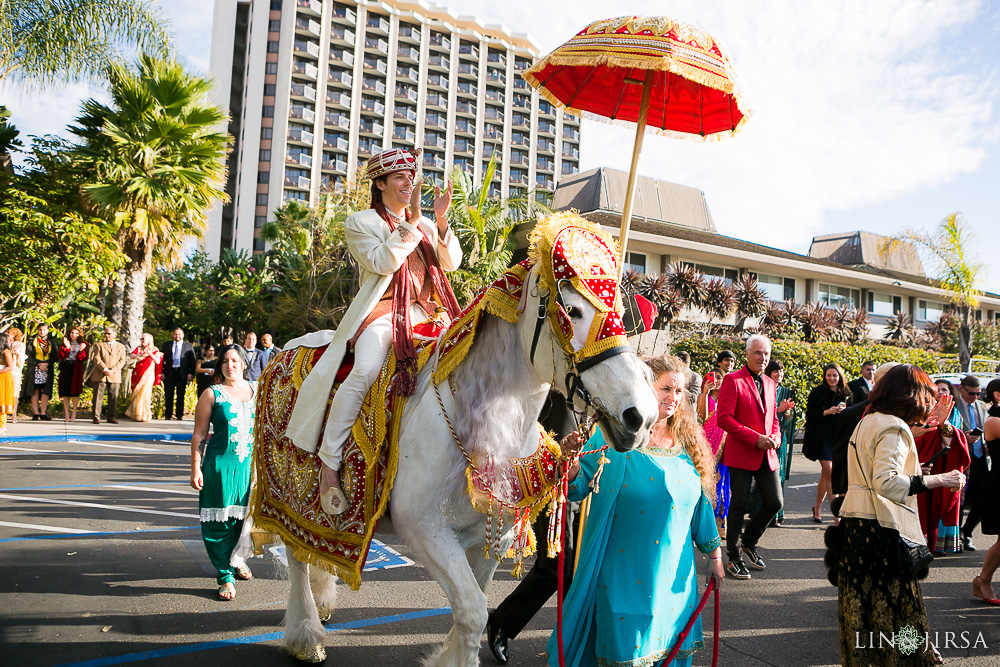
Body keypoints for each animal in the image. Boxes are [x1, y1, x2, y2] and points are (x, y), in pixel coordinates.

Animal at [274, 264, 656, 664]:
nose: (642, 416)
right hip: (287, 494)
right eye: (573, 311)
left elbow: (472, 605)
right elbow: (472, 610)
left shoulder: (493, 537)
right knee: (295, 555)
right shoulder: (425, 530)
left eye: (623, 315)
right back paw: (306, 635)